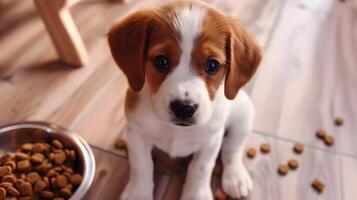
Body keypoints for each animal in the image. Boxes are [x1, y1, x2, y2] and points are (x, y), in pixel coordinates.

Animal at [107, 0, 260, 199]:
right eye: (161, 61)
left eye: (212, 65)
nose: (184, 108)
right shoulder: (136, 133)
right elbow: (141, 165)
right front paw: (138, 194)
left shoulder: (211, 140)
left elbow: (200, 169)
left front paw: (196, 195)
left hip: (244, 117)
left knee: (232, 149)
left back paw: (236, 177)